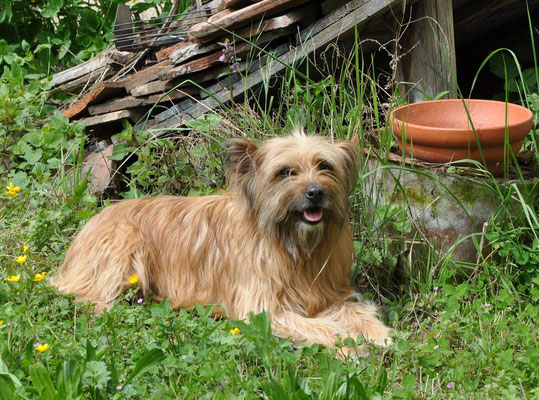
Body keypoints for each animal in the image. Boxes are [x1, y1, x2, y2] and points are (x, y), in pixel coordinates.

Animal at [52, 130, 390, 350]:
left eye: (325, 166)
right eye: (285, 172)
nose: (315, 192)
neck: (293, 245)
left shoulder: (329, 293)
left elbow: (355, 311)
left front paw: (378, 333)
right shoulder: (263, 308)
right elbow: (316, 325)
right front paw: (348, 344)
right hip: (126, 245)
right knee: (92, 300)